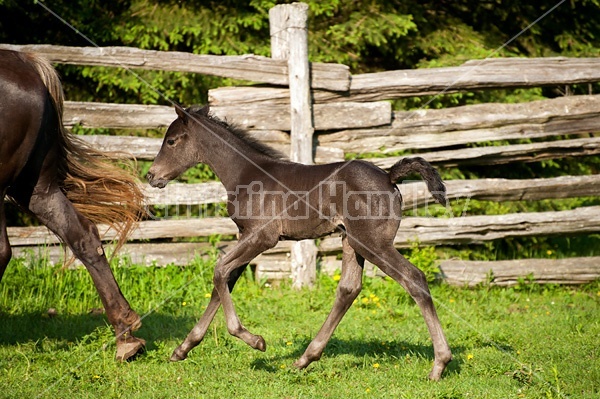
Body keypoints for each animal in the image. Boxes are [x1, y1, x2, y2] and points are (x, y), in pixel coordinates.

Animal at [148, 104, 452, 380]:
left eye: (171, 141)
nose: (152, 175)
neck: (245, 173)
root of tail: (389, 177)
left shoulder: (262, 236)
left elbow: (219, 271)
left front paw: (254, 340)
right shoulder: (245, 234)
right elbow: (223, 282)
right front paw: (182, 349)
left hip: (373, 243)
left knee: (414, 278)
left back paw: (439, 364)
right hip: (352, 240)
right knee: (349, 289)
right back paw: (306, 358)